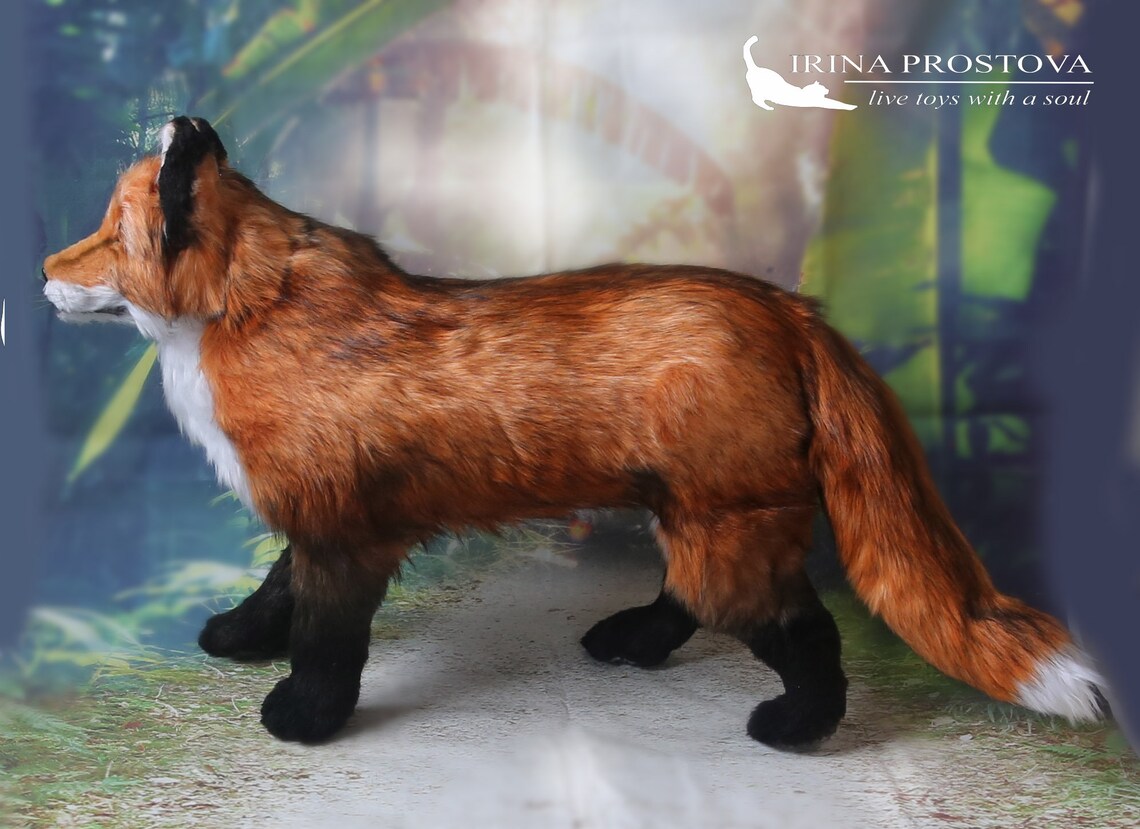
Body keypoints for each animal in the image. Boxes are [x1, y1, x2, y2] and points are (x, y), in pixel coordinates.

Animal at [42, 116, 1106, 747]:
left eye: (106, 236)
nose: (44, 271)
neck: (248, 315)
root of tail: (789, 307)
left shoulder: (346, 533)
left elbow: (326, 643)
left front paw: (303, 718)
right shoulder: (317, 519)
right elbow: (276, 593)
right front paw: (236, 637)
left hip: (727, 532)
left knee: (808, 631)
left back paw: (796, 724)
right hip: (699, 520)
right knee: (684, 598)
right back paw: (633, 639)